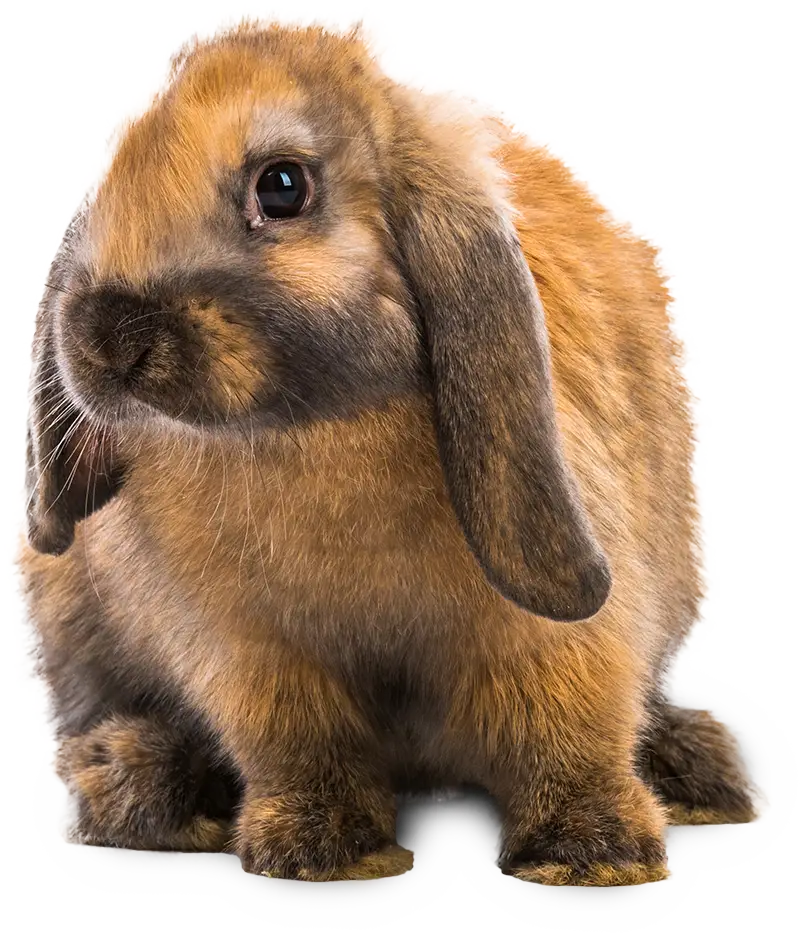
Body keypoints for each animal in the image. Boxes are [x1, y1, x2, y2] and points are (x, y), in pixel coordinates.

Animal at [17, 19, 757, 886]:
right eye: (114, 162)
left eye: (282, 186)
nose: (106, 335)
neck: (310, 430)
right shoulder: (251, 653)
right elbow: (299, 741)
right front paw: (323, 849)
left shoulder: (558, 637)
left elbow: (570, 724)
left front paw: (592, 851)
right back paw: (137, 783)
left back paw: (698, 767)